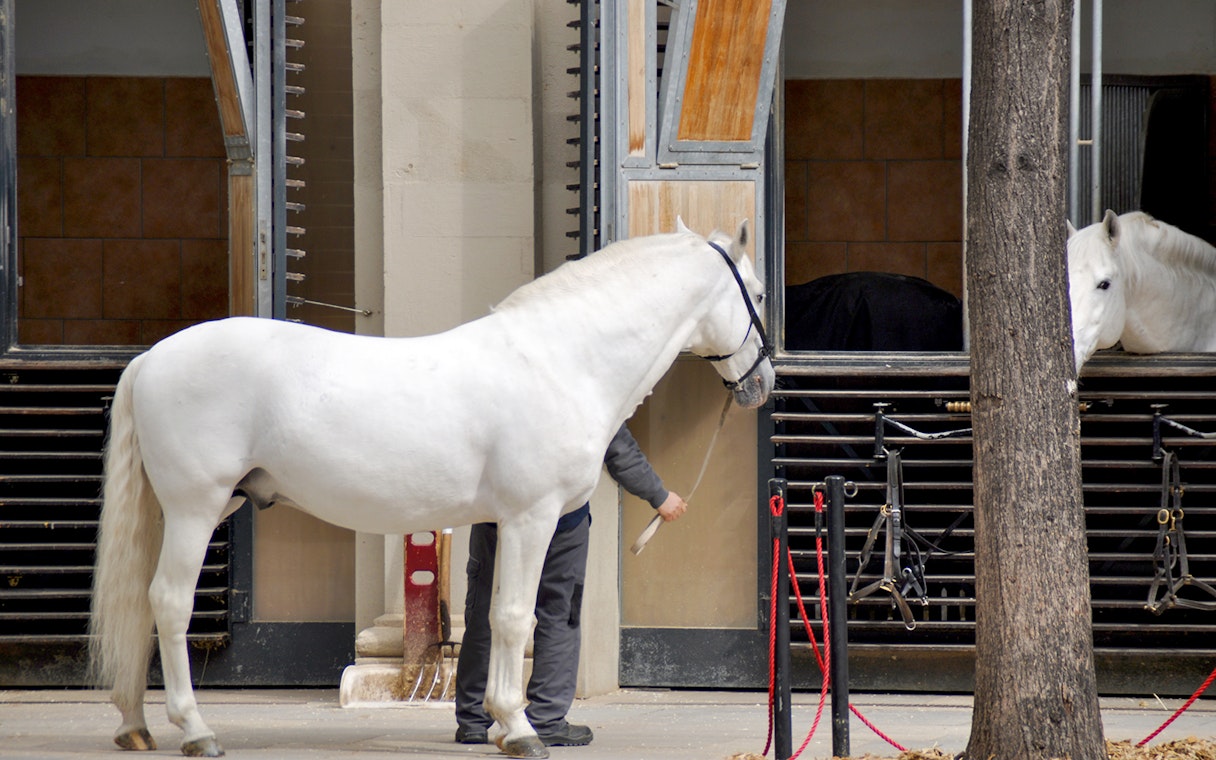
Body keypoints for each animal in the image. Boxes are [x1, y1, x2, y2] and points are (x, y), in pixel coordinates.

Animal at [88, 219, 774, 759]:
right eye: (761, 293)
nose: (763, 382)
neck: (560, 360)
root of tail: (151, 359)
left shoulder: (502, 522)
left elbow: (490, 618)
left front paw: (496, 725)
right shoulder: (531, 518)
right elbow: (515, 617)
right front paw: (520, 730)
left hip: (177, 510)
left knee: (140, 604)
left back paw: (134, 725)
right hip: (195, 508)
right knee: (169, 602)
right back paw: (195, 729)